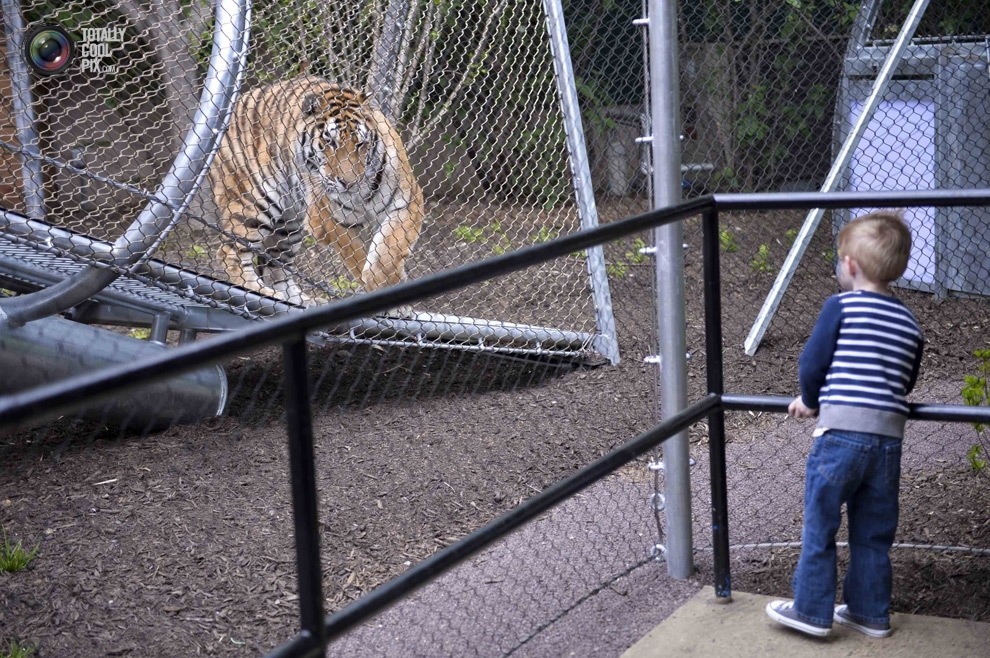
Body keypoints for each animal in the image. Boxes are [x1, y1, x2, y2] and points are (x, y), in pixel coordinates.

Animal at [207, 74, 424, 310]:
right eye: (330, 142)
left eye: (360, 144)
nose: (348, 183)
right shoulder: (329, 221)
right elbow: (356, 256)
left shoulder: (409, 202)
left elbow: (389, 250)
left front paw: (391, 285)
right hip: (253, 204)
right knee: (229, 254)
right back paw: (259, 292)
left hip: (289, 224)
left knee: (275, 269)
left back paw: (301, 301)